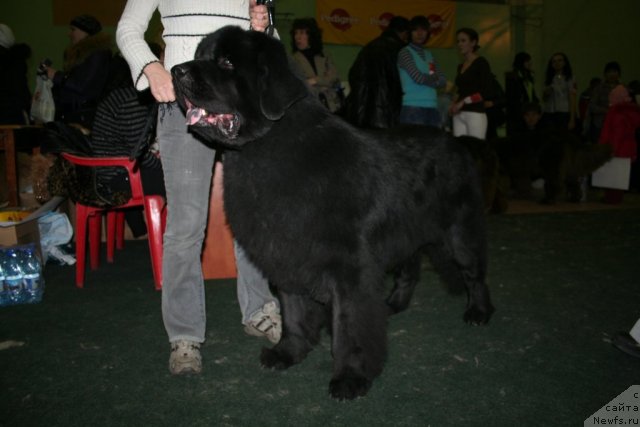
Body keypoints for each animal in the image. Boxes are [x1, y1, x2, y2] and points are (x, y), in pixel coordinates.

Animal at [171, 26, 496, 402]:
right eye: (199, 55)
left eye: (226, 63)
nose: (176, 70)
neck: (267, 150)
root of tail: (456, 141)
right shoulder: (287, 254)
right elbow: (293, 311)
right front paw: (288, 353)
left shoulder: (349, 268)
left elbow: (348, 327)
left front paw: (350, 378)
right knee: (409, 268)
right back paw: (393, 304)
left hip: (460, 230)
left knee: (474, 273)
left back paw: (478, 312)